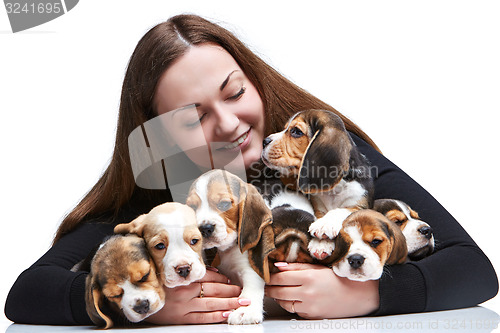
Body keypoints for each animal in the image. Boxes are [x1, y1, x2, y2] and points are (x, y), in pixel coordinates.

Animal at [187, 170, 276, 322]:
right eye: (192, 208)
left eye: (224, 204)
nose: (204, 228)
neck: (227, 249)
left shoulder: (249, 268)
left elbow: (251, 288)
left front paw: (246, 311)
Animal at [262, 109, 372, 244]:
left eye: (296, 131)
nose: (264, 141)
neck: (335, 189)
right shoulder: (318, 207)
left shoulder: (361, 204)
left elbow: (344, 210)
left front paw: (325, 224)